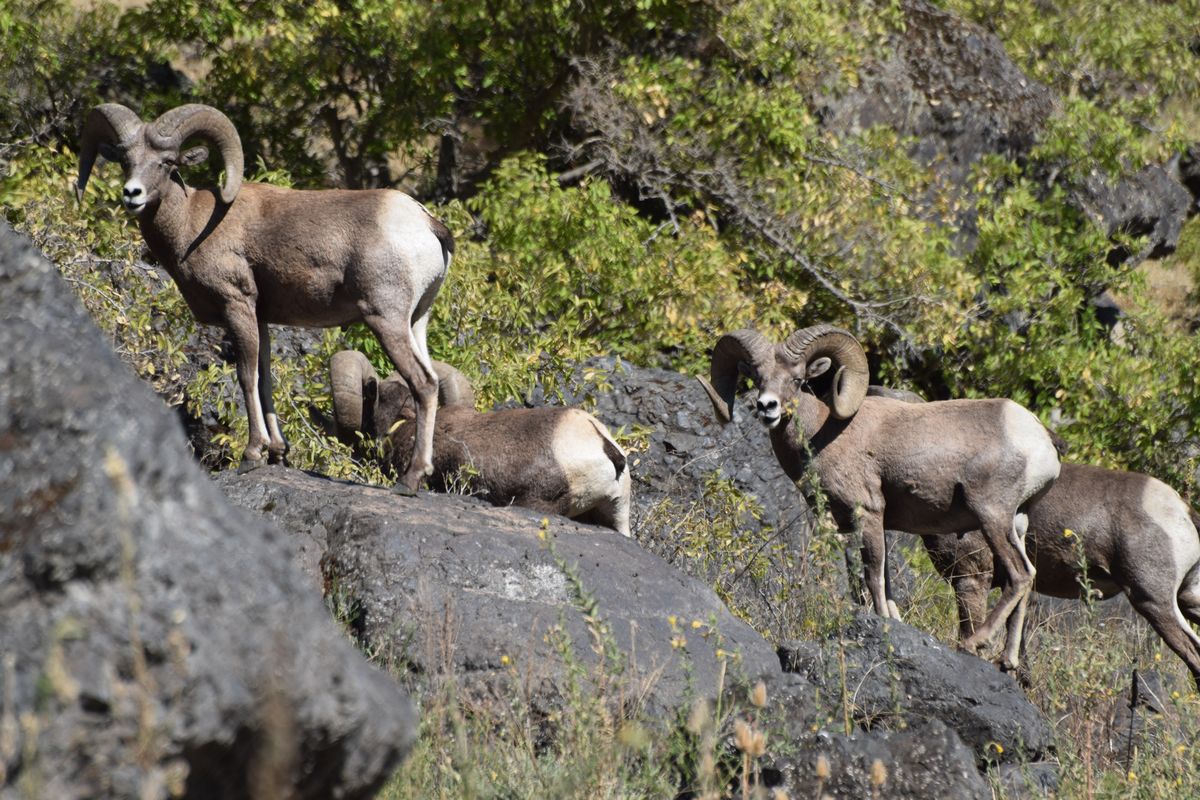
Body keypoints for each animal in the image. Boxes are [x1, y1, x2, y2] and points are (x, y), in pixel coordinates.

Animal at [75, 104, 451, 494]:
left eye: (166, 162)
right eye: (125, 160)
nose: (132, 194)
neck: (192, 225)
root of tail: (427, 224)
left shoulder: (237, 306)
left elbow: (246, 376)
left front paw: (252, 455)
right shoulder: (261, 319)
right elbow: (265, 378)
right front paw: (277, 453)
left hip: (385, 320)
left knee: (423, 384)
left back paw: (410, 479)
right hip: (415, 323)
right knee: (431, 380)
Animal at [700, 323, 1060, 671]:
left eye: (798, 379)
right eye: (757, 378)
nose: (767, 407)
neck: (822, 433)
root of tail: (1041, 443)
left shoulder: (867, 512)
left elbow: (872, 575)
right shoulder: (876, 524)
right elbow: (885, 581)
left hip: (991, 515)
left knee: (1020, 575)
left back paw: (976, 643)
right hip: (1017, 522)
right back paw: (1007, 661)